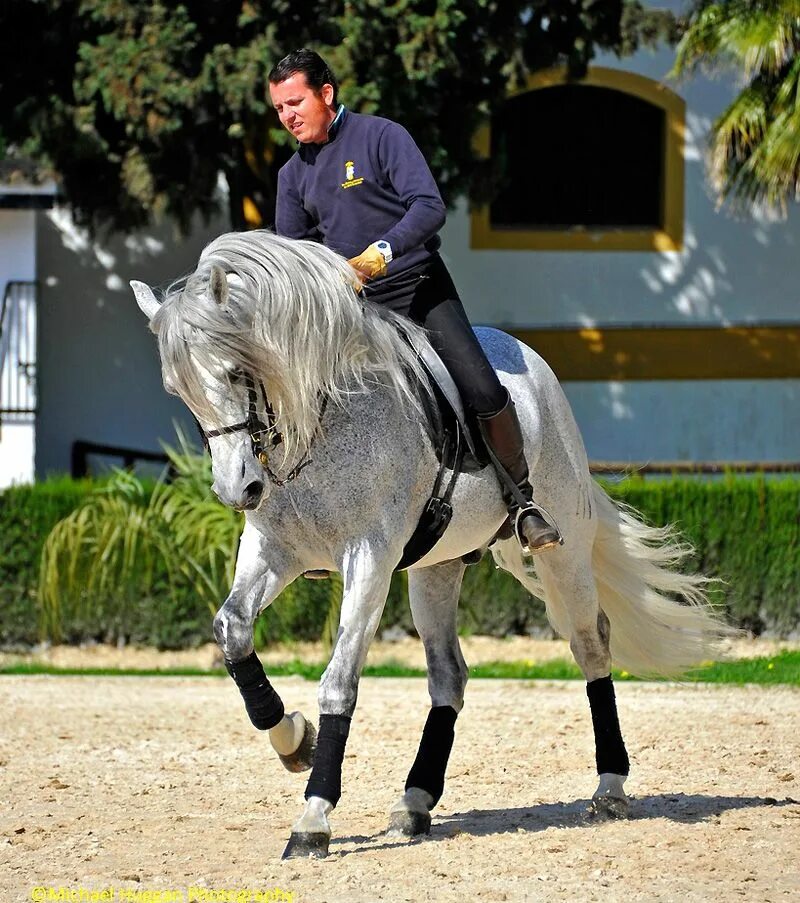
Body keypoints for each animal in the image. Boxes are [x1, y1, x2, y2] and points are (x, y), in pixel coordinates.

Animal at [130, 230, 724, 860]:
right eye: (178, 388)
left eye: (236, 373)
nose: (235, 489)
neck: (321, 421)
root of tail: (532, 362)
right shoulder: (272, 550)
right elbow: (233, 631)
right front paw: (294, 741)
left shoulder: (368, 559)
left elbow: (339, 683)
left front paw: (313, 818)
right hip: (435, 567)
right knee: (449, 676)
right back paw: (414, 802)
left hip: (560, 548)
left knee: (590, 644)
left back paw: (609, 789)